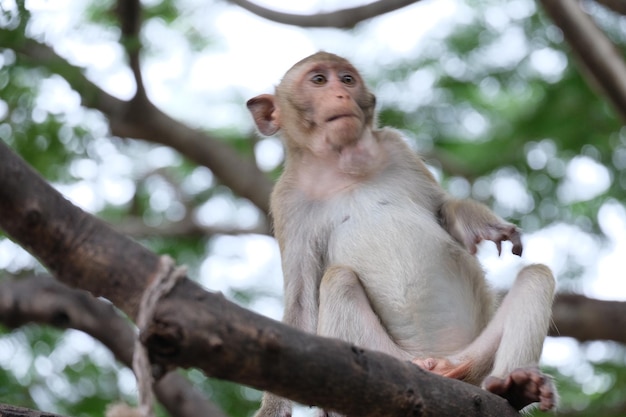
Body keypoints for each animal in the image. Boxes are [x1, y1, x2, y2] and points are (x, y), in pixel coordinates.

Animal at [246, 50, 552, 414]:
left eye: (347, 79)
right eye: (318, 80)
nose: (341, 94)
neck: (342, 166)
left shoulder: (396, 148)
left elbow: (442, 211)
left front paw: (482, 225)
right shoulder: (287, 201)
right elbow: (301, 302)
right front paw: (272, 406)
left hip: (475, 361)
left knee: (536, 276)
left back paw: (516, 387)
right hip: (387, 356)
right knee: (338, 279)